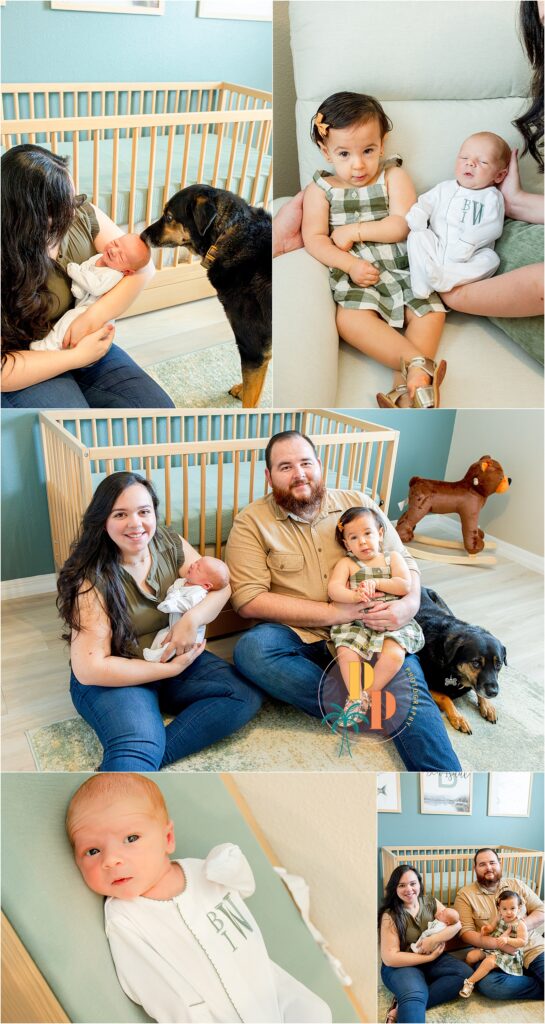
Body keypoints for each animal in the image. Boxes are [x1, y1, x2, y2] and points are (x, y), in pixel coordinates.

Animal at [141, 186, 270, 409]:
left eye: (169, 216)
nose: (141, 236)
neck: (228, 234)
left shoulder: (253, 350)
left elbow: (251, 400)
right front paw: (241, 388)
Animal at [417, 585, 506, 737]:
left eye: (498, 665)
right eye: (476, 663)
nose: (493, 693)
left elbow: (478, 690)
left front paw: (488, 706)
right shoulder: (427, 686)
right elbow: (445, 697)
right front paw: (459, 718)